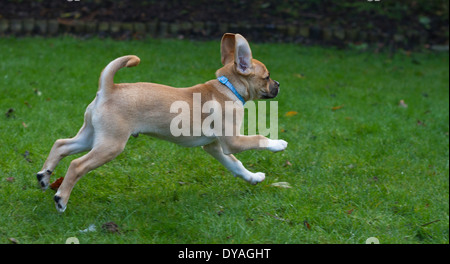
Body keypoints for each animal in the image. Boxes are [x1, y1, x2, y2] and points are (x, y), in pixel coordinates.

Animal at [37, 34, 286, 213]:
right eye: (267, 77)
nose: (278, 85)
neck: (227, 87)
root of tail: (108, 89)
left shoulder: (215, 147)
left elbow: (236, 165)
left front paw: (253, 177)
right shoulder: (233, 141)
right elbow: (259, 139)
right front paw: (278, 144)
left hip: (92, 137)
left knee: (61, 144)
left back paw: (44, 176)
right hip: (110, 145)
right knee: (76, 164)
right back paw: (61, 199)